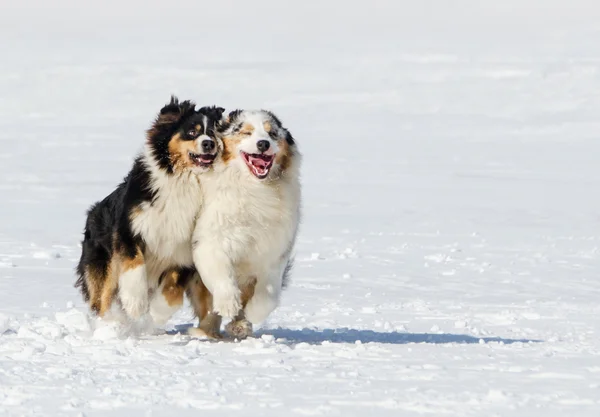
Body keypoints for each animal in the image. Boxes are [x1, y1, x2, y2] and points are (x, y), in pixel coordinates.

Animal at [74, 96, 224, 324]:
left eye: (215, 133)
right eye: (192, 131)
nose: (209, 143)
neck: (185, 180)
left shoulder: (185, 248)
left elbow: (173, 291)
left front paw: (157, 312)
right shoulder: (129, 229)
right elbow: (135, 264)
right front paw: (135, 303)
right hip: (102, 263)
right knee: (102, 300)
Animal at [186, 108, 300, 338]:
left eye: (272, 133)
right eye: (246, 133)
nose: (263, 144)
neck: (255, 188)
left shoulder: (275, 249)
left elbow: (269, 293)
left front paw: (253, 313)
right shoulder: (211, 239)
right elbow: (220, 272)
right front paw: (229, 303)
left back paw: (240, 325)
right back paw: (205, 331)